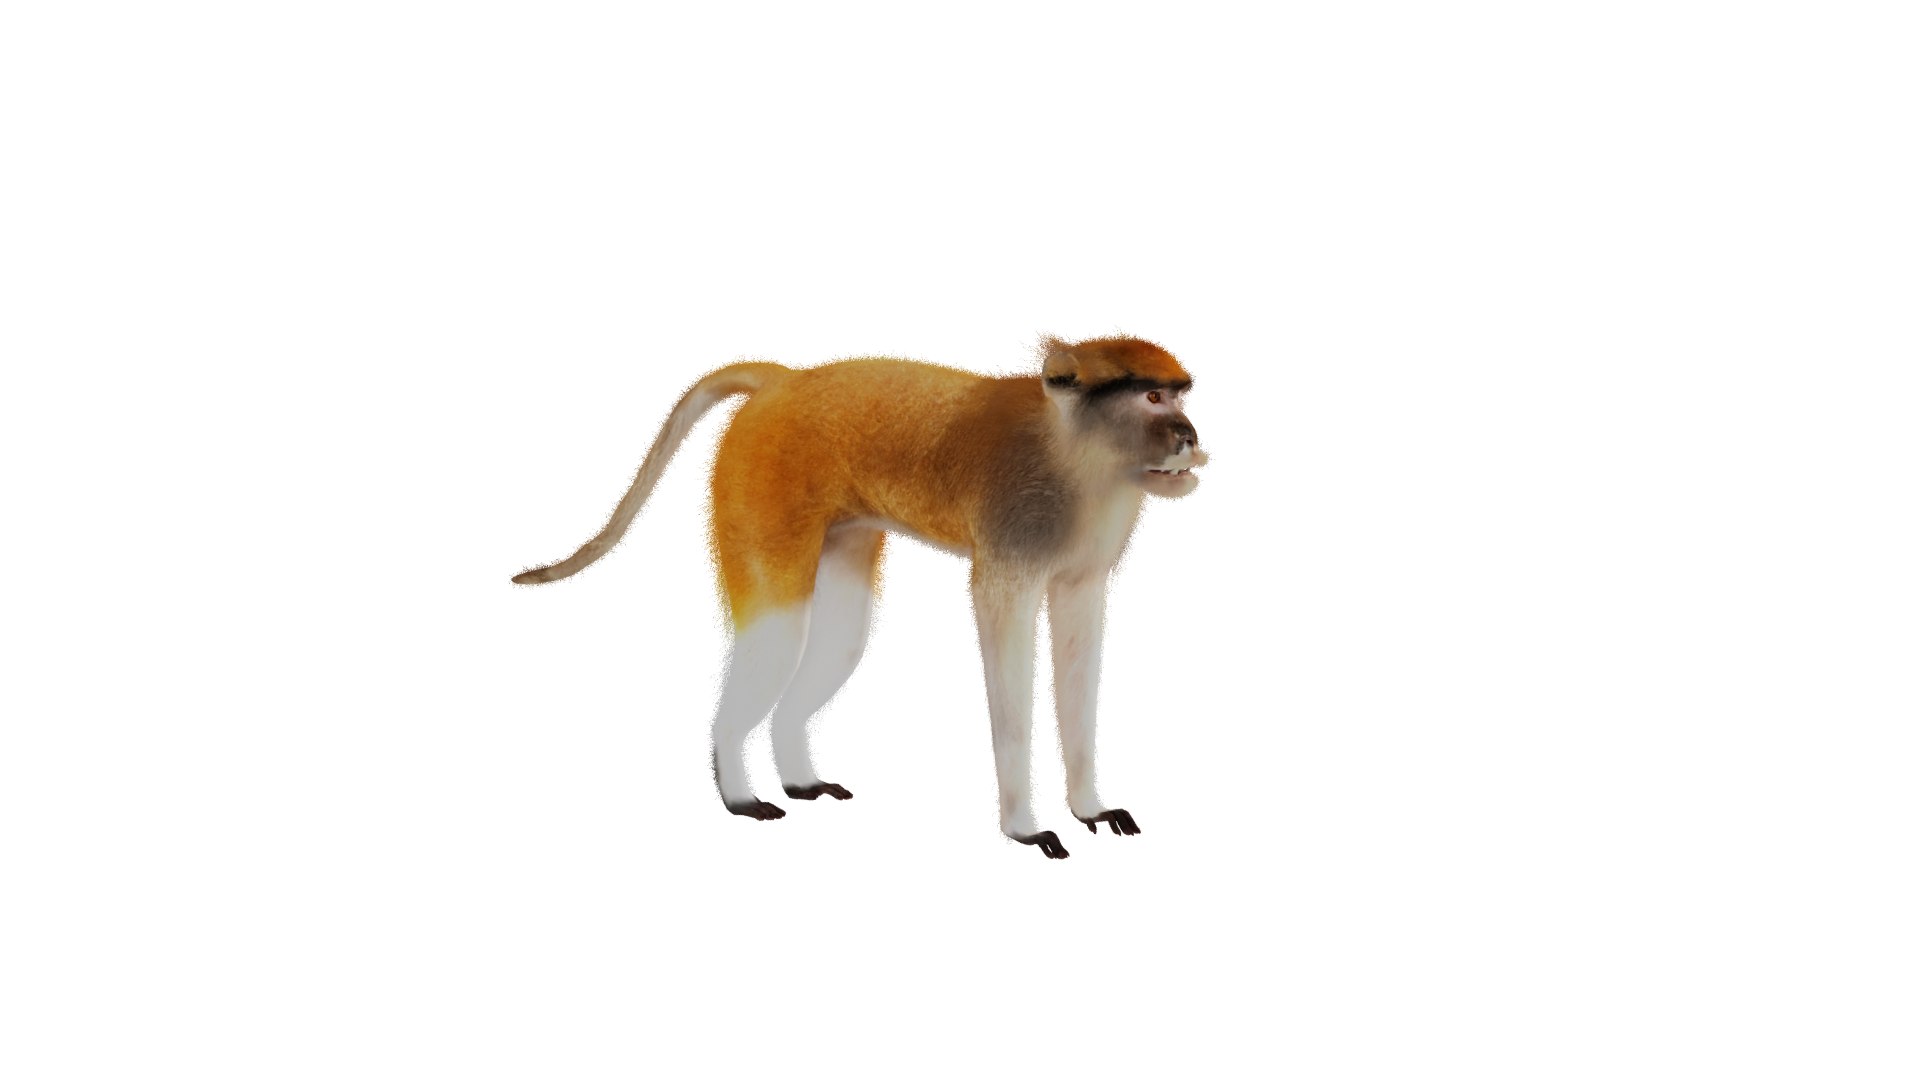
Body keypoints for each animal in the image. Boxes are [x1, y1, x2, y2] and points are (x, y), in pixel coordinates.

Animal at [512, 335, 1205, 859]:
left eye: (1176, 393)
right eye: (1151, 396)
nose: (1189, 436)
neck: (1072, 452)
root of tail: (783, 382)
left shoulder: (1086, 553)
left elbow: (1079, 638)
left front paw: (1091, 808)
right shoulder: (1018, 528)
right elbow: (1000, 625)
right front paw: (1026, 828)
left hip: (836, 525)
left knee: (841, 636)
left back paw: (798, 777)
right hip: (758, 483)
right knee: (778, 632)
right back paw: (738, 791)